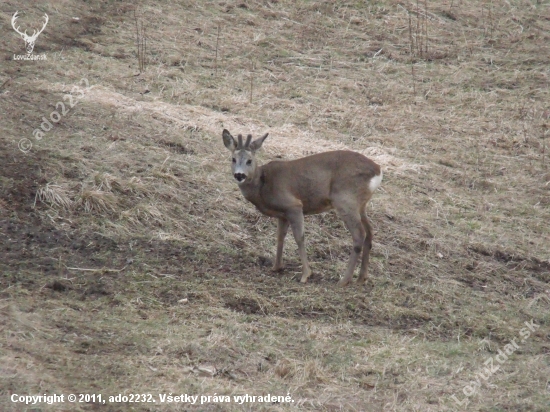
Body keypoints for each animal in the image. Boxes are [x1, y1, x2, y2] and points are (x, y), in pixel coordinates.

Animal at [223, 130, 384, 286]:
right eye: (233, 159)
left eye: (249, 160)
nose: (239, 175)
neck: (262, 185)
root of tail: (378, 170)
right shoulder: (282, 215)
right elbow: (280, 237)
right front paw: (276, 267)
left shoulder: (293, 205)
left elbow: (299, 237)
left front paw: (306, 274)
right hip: (360, 205)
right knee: (370, 232)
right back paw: (361, 278)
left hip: (345, 200)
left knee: (359, 234)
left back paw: (344, 280)